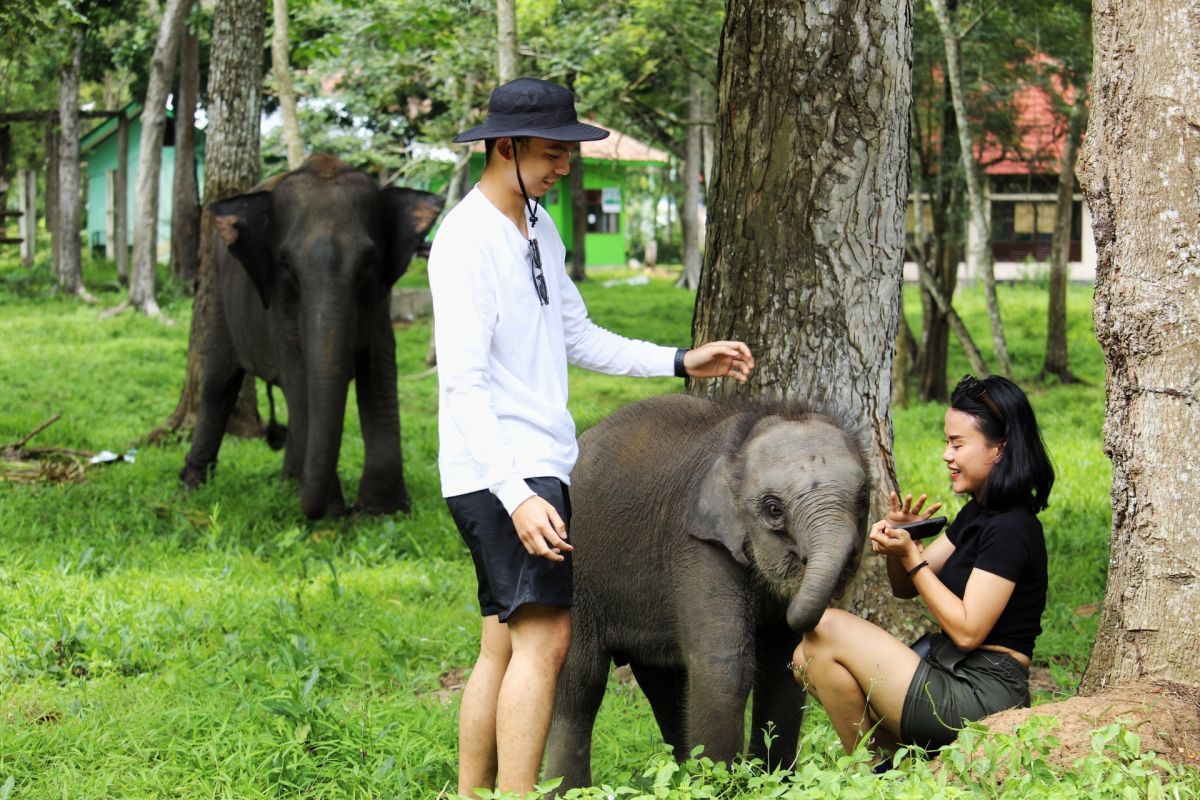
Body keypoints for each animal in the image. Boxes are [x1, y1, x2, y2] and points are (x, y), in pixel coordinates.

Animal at [184, 154, 448, 520]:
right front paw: (333, 515)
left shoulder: (382, 300)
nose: (347, 510)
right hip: (219, 292)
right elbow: (297, 373)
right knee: (219, 383)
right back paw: (192, 486)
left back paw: (289, 482)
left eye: (368, 261)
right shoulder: (278, 304)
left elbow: (379, 368)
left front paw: (382, 512)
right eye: (285, 264)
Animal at [547, 393, 873, 786]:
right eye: (773, 508)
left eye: (864, 497)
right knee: (582, 681)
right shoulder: (697, 546)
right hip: (572, 571)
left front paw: (774, 783)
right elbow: (723, 667)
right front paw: (723, 786)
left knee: (662, 682)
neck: (742, 436)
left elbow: (782, 666)